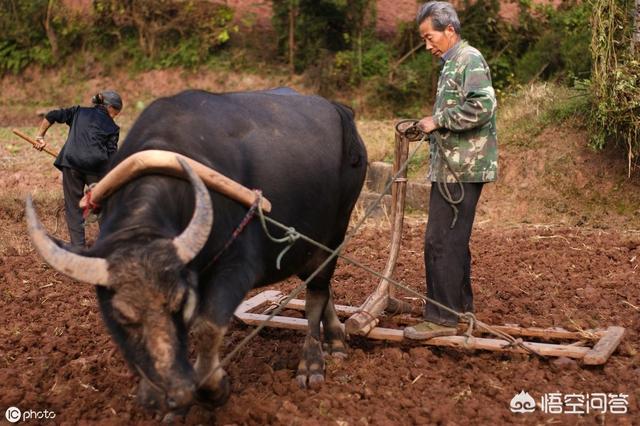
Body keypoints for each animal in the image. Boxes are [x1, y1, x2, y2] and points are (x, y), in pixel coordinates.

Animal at [27, 89, 368, 410]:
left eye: (180, 302)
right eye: (121, 315)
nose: (175, 390)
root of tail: (337, 108)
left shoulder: (237, 266)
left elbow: (208, 326)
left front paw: (213, 388)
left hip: (336, 231)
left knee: (316, 295)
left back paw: (312, 362)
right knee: (322, 287)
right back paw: (335, 339)